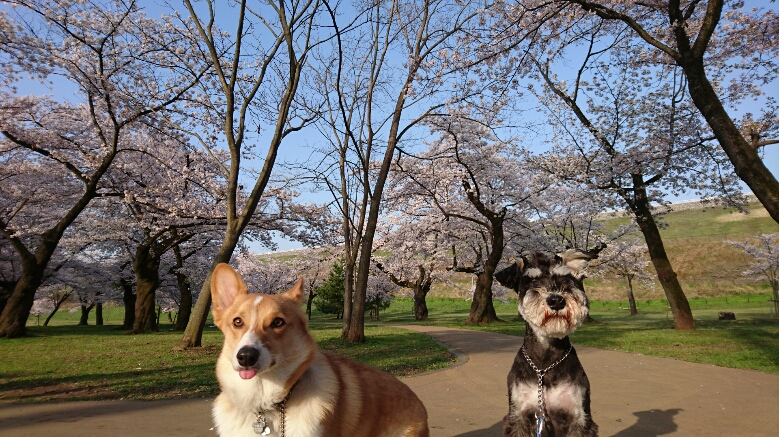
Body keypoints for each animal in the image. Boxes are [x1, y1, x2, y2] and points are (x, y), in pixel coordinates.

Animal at [494, 249, 599, 437]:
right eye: (531, 280)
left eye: (567, 279)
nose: (556, 300)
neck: (545, 362)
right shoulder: (518, 417)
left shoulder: (579, 418)